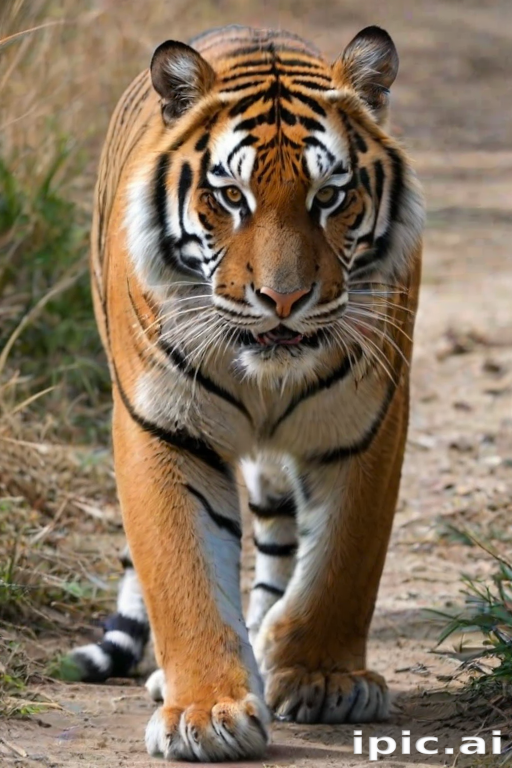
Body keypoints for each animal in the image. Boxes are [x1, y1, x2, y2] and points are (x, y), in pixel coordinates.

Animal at [68, 24, 424, 762]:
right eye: (232, 197)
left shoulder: (368, 422)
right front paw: (205, 713)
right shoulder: (163, 427)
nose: (283, 299)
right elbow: (182, 574)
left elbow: (344, 561)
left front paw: (321, 678)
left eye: (329, 196)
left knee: (281, 538)